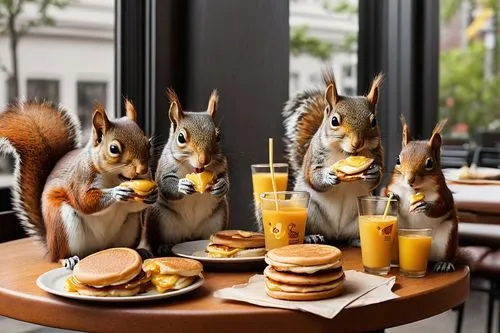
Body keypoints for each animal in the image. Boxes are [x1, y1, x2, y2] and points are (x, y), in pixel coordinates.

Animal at [0, 100, 157, 260]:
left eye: (148, 143)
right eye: (113, 149)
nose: (143, 170)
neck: (114, 177)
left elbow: (133, 206)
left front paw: (153, 195)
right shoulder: (81, 177)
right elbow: (84, 201)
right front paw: (117, 192)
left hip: (131, 226)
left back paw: (139, 251)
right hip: (61, 222)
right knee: (60, 254)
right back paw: (68, 259)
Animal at [145, 88, 230, 254]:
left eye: (218, 137)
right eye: (181, 138)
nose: (204, 160)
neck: (192, 168)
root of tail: (190, 235)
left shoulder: (222, 165)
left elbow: (226, 180)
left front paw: (221, 186)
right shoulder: (165, 169)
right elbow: (166, 185)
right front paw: (182, 186)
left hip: (218, 217)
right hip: (159, 217)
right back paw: (164, 247)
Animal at [282, 68, 382, 244]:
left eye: (374, 121)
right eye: (334, 121)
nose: (357, 143)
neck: (344, 152)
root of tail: (336, 233)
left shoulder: (377, 152)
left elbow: (378, 176)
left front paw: (374, 172)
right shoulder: (314, 156)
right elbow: (312, 176)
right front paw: (327, 175)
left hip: (366, 210)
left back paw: (357, 240)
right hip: (308, 209)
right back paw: (310, 236)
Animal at [384, 117, 458, 272]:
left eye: (430, 163)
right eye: (397, 160)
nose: (409, 180)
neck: (414, 190)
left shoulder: (444, 193)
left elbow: (443, 206)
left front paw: (426, 206)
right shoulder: (391, 185)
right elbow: (386, 192)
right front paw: (393, 197)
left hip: (448, 236)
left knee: (447, 255)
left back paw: (444, 263)